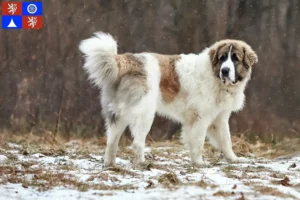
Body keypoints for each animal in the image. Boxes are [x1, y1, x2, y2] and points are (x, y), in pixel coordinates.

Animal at [79, 32, 258, 167]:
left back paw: (110, 164)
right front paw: (199, 163)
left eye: (235, 58)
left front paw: (233, 159)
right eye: (222, 58)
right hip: (145, 114)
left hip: (118, 115)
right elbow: (198, 141)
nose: (225, 70)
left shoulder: (219, 119)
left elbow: (226, 140)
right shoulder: (199, 118)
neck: (216, 78)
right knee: (137, 142)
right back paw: (143, 163)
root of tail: (126, 60)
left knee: (111, 141)